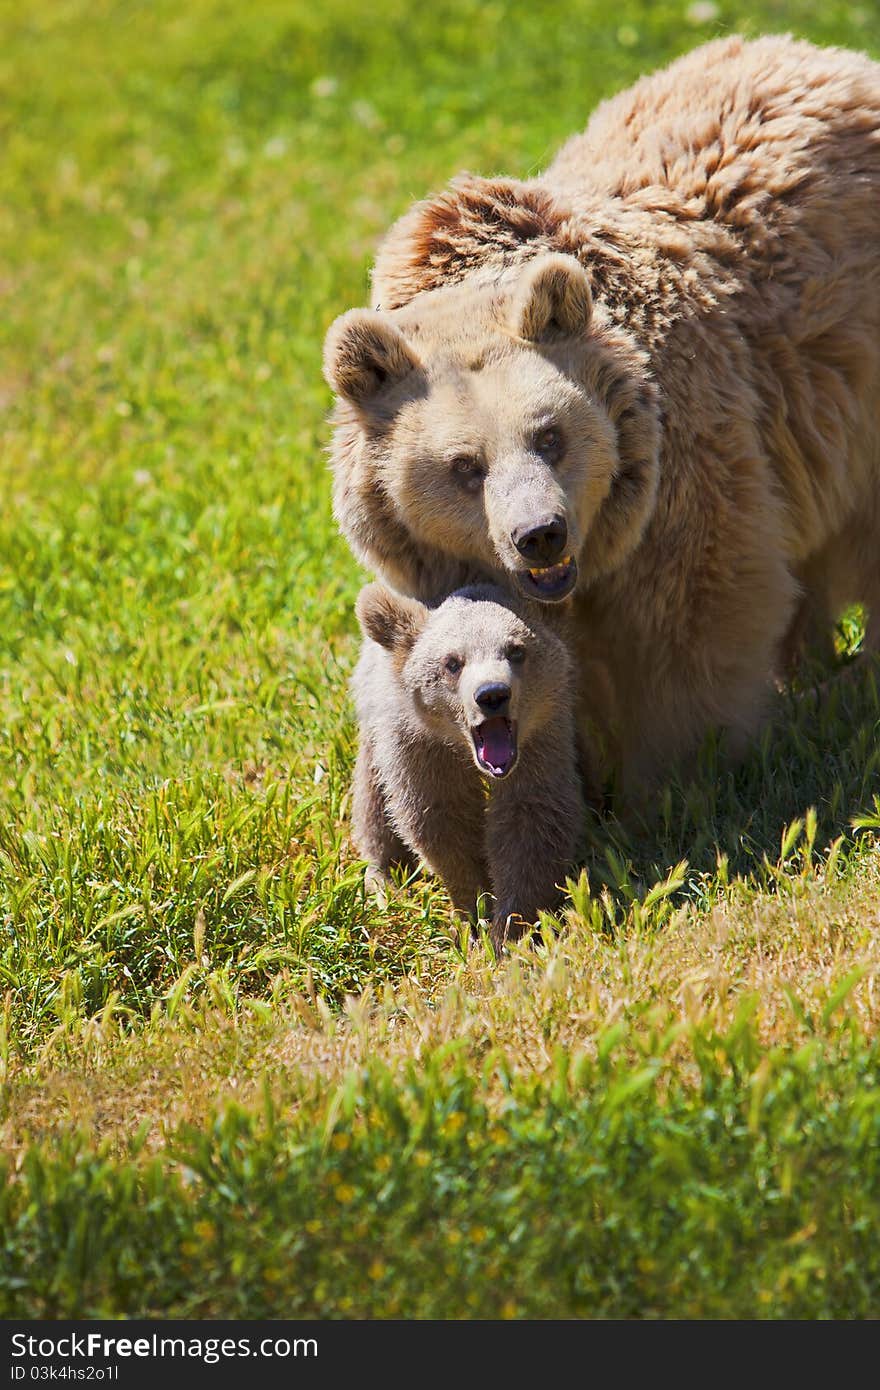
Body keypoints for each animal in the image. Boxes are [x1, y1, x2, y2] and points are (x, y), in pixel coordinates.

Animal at [323, 35, 878, 795]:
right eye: (465, 467)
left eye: (550, 435)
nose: (540, 535)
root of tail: (832, 57)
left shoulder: (678, 474)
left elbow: (690, 622)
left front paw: (670, 784)